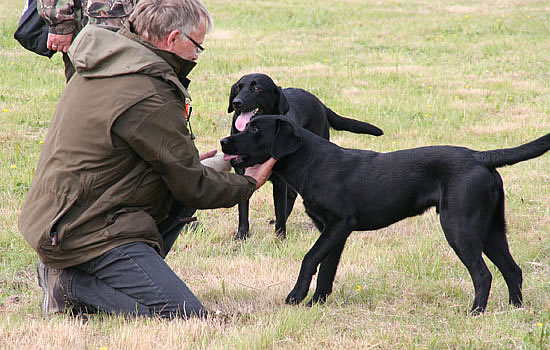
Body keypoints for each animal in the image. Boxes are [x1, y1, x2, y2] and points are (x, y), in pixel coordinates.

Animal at [222, 115, 550, 314]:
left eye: (255, 129)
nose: (224, 141)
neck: (312, 163)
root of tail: (482, 157)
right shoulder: (334, 232)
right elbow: (326, 270)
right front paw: (317, 303)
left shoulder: (338, 224)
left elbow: (309, 259)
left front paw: (296, 296)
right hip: (490, 229)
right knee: (513, 270)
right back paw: (514, 310)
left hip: (459, 227)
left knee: (483, 275)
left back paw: (475, 313)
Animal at [226, 72, 386, 239]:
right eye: (238, 88)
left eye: (256, 88)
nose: (237, 103)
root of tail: (319, 102)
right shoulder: (243, 175)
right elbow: (243, 210)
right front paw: (241, 235)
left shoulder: (280, 182)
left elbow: (280, 209)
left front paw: (280, 237)